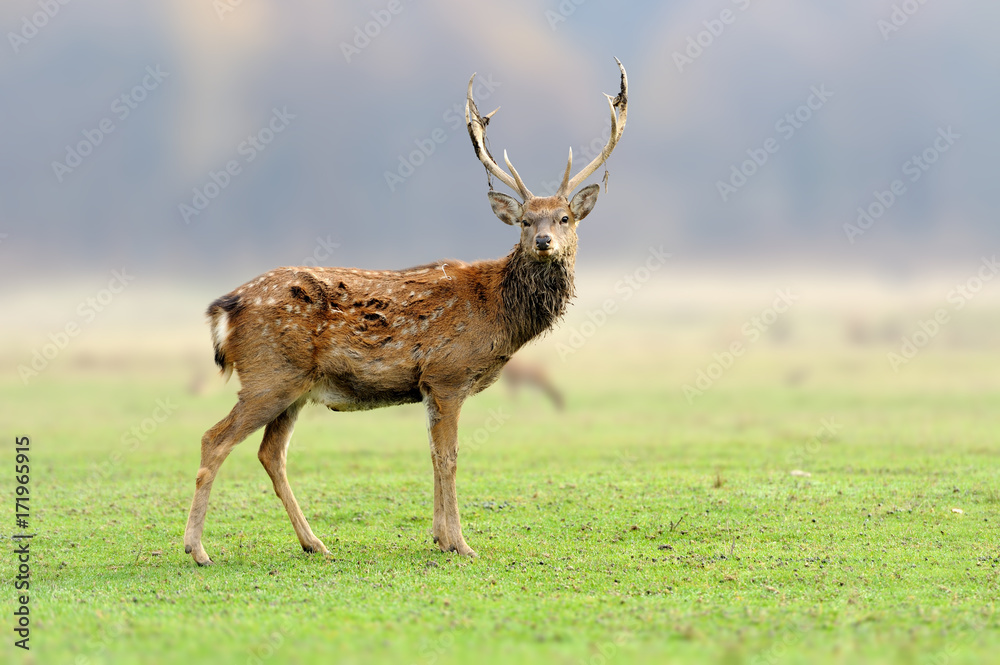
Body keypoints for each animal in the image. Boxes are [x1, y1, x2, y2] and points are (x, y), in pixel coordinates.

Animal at [184, 59, 628, 564]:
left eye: (565, 218)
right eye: (525, 220)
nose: (544, 242)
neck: (496, 314)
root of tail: (227, 306)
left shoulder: (429, 386)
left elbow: (433, 456)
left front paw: (440, 536)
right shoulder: (449, 373)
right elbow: (450, 457)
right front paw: (461, 543)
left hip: (293, 386)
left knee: (270, 453)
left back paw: (314, 543)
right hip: (268, 374)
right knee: (214, 440)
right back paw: (198, 549)